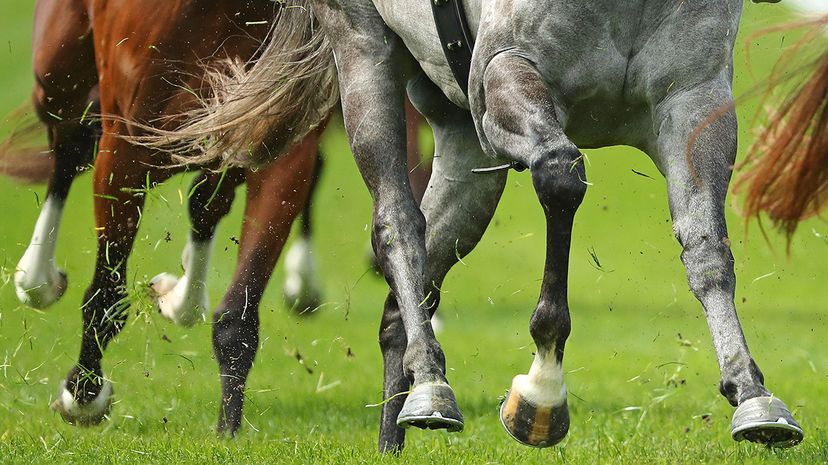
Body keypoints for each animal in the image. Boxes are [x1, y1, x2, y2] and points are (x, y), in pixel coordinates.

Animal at [0, 0, 426, 436]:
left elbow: (239, 310)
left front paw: (228, 429)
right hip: (58, 70)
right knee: (69, 144)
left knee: (205, 201)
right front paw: (84, 392)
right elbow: (106, 293)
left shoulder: (278, 134)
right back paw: (35, 279)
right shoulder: (127, 144)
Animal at [147, 0, 804, 454]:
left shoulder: (694, 103)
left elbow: (707, 248)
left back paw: (397, 425)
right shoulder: (507, 74)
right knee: (396, 224)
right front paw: (543, 386)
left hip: (463, 143)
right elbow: (561, 176)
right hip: (364, 52)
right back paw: (431, 385)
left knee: (408, 287)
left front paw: (752, 395)